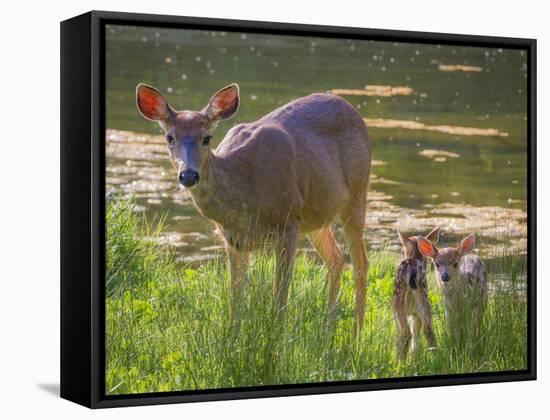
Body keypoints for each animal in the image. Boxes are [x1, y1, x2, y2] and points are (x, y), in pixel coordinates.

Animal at [136, 82, 374, 334]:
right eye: (169, 137)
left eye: (207, 138)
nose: (189, 175)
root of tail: (353, 111)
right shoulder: (233, 239)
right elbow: (236, 299)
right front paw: (233, 337)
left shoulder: (288, 221)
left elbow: (280, 295)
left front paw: (276, 338)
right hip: (315, 217)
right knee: (336, 260)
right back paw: (327, 331)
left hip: (357, 194)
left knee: (361, 264)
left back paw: (356, 335)